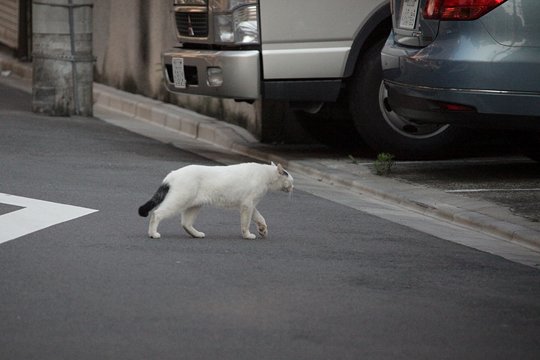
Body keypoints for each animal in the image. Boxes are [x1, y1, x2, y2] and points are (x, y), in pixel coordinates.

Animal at [137, 162, 294, 240]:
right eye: (291, 181)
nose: (293, 187)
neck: (265, 174)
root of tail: (172, 174)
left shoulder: (250, 205)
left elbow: (260, 218)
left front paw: (263, 230)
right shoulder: (247, 205)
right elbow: (246, 223)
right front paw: (247, 235)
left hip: (194, 205)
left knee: (185, 223)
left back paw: (197, 234)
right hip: (179, 201)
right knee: (156, 214)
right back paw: (153, 234)